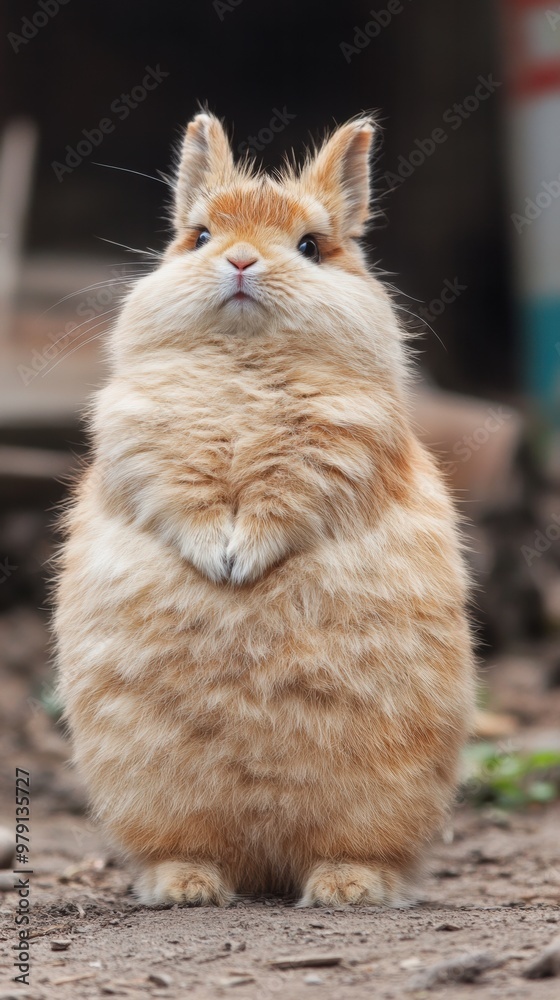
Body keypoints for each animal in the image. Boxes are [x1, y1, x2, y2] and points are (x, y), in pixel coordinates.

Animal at [54, 113, 474, 912]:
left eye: (310, 245)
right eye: (198, 235)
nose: (242, 261)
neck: (243, 360)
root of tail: (266, 867)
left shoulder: (341, 452)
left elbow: (282, 503)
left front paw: (240, 563)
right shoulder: (144, 451)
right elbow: (185, 498)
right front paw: (220, 563)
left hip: (376, 795)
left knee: (352, 849)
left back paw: (347, 888)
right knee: (191, 848)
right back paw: (188, 886)